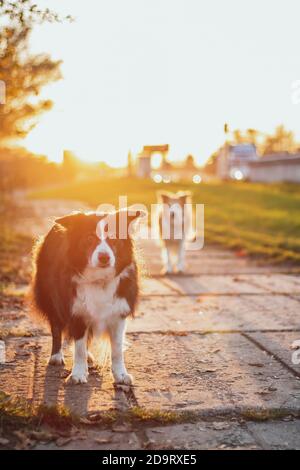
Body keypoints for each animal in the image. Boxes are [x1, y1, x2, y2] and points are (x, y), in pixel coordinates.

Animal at [32, 209, 144, 386]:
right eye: (89, 238)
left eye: (114, 238)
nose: (104, 257)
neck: (99, 279)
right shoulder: (76, 311)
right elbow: (78, 347)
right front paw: (78, 374)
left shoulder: (119, 313)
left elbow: (117, 349)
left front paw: (121, 375)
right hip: (50, 298)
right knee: (56, 327)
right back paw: (56, 356)